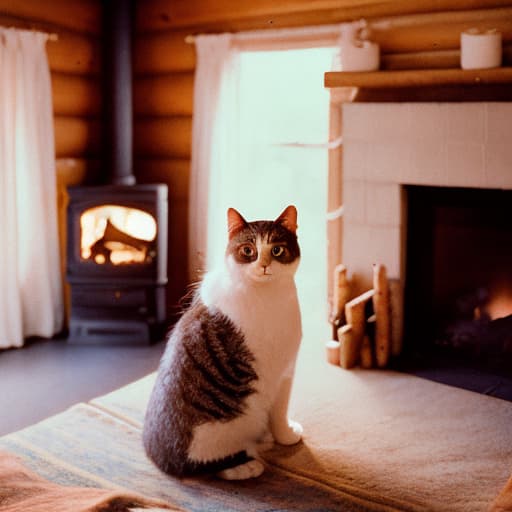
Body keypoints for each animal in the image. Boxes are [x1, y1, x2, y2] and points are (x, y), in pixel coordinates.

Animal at [143, 204, 304, 480]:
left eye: (277, 250)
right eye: (248, 250)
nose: (263, 264)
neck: (267, 295)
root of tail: (159, 460)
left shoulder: (288, 372)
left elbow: (278, 414)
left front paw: (276, 436)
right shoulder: (280, 373)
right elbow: (279, 415)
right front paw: (286, 436)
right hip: (217, 433)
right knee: (202, 464)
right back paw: (246, 464)